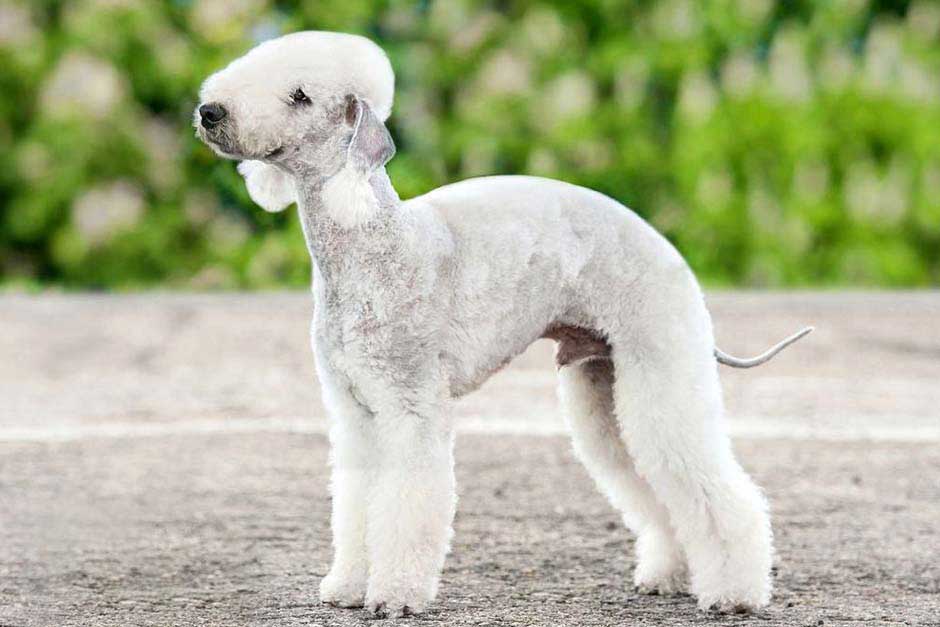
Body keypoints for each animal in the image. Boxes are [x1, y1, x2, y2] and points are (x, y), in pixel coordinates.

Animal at [195, 31, 810, 618]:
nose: (209, 111)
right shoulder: (355, 412)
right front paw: (347, 587)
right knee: (647, 482)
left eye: (300, 96)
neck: (371, 243)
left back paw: (734, 593)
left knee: (713, 485)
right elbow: (357, 503)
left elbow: (407, 504)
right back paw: (671, 575)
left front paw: (394, 596)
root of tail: (667, 249)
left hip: (661, 367)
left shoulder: (411, 406)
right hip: (604, 385)